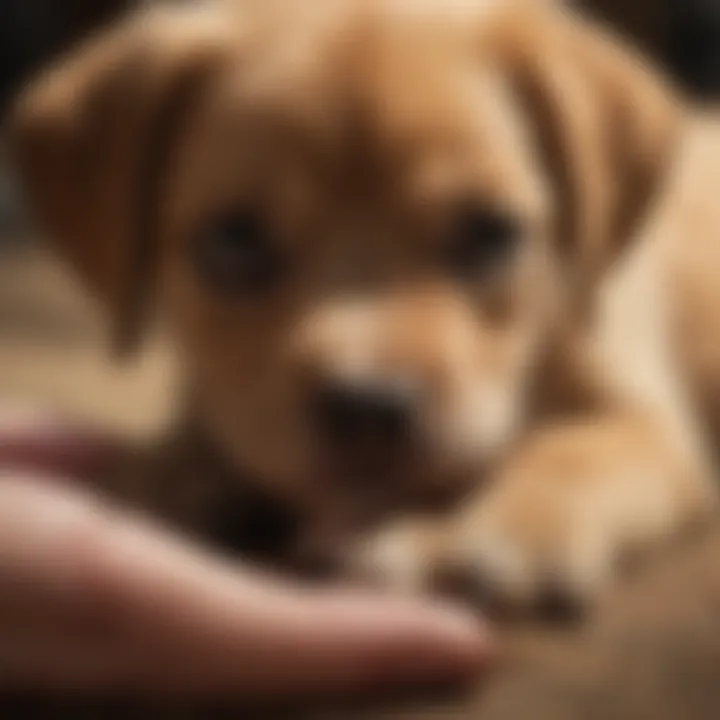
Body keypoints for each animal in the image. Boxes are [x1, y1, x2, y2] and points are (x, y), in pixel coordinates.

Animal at [9, 0, 720, 612]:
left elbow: (575, 450)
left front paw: (503, 531)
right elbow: (209, 429)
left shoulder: (650, 426)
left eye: (489, 231)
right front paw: (160, 478)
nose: (367, 410)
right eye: (232, 240)